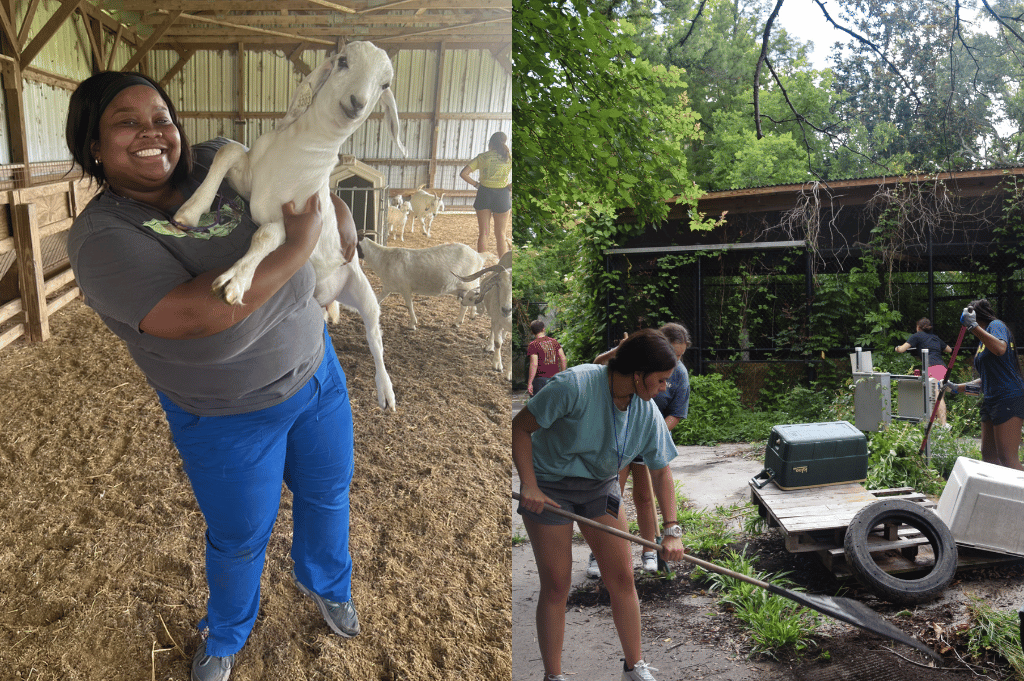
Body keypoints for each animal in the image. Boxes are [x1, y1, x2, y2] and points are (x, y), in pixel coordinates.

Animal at [172, 41, 403, 409]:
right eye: (342, 61)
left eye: (385, 85)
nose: (357, 102)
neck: (298, 152)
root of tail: (332, 293)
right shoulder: (250, 183)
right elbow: (228, 151)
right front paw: (191, 211)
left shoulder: (298, 218)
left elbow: (267, 233)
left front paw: (234, 281)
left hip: (363, 290)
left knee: (375, 336)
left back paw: (386, 392)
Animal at [356, 236, 487, 329]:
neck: (383, 258)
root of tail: (479, 256)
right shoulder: (388, 287)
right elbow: (377, 299)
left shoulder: (405, 287)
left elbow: (409, 305)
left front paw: (412, 324)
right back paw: (471, 315)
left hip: (468, 283)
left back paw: (458, 321)